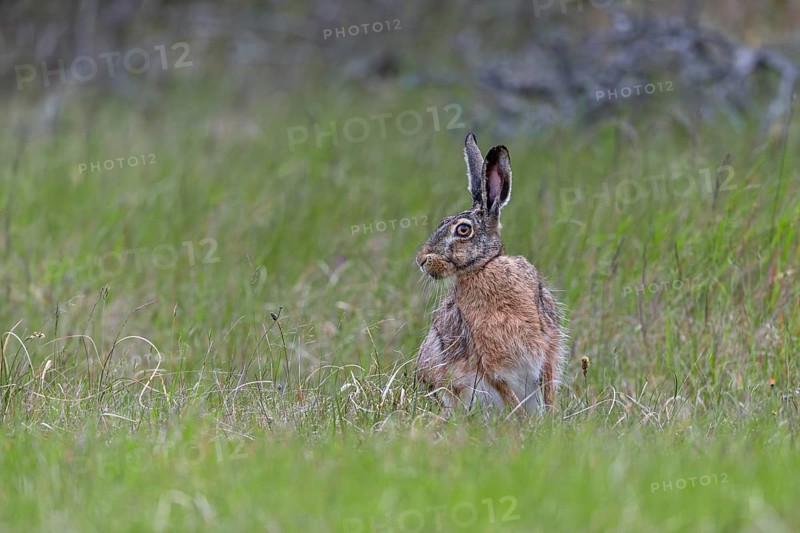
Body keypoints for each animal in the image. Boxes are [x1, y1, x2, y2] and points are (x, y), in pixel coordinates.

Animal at [415, 133, 566, 416]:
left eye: (463, 230)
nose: (421, 260)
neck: (485, 266)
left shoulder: (547, 342)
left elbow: (548, 383)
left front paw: (549, 418)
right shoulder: (485, 358)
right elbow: (504, 389)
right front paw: (523, 418)